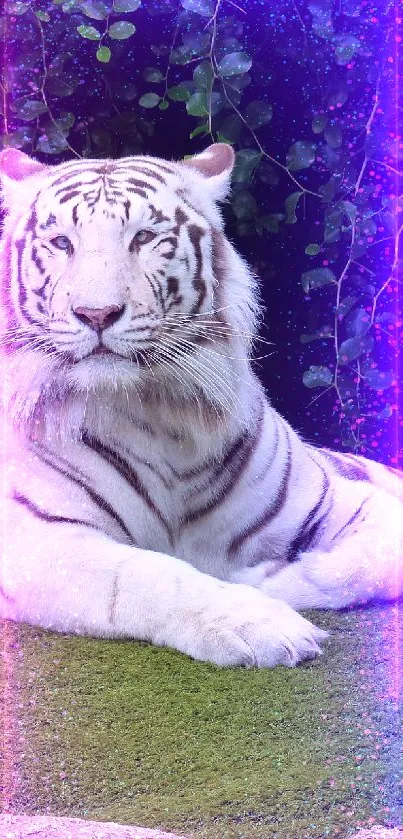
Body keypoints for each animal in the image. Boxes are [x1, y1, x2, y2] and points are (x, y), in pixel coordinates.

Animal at [0, 146, 402, 668]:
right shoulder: (33, 537)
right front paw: (261, 622)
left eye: (144, 237)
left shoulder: (345, 498)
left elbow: (372, 563)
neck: (158, 414)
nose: (96, 314)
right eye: (62, 242)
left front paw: (265, 577)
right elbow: (146, 575)